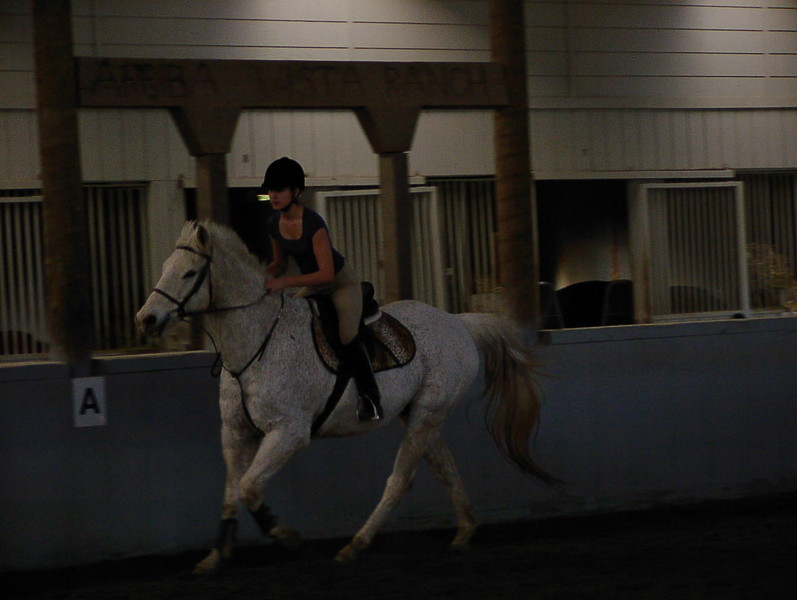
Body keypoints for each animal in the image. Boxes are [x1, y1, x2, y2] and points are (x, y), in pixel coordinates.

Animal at [136, 220, 558, 574]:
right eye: (165, 267)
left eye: (189, 273)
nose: (146, 319)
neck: (255, 343)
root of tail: (458, 323)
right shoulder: (235, 433)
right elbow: (230, 493)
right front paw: (216, 556)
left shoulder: (288, 432)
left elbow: (250, 487)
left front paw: (287, 539)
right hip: (421, 414)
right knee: (445, 467)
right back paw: (465, 531)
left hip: (426, 413)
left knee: (400, 480)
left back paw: (355, 546)